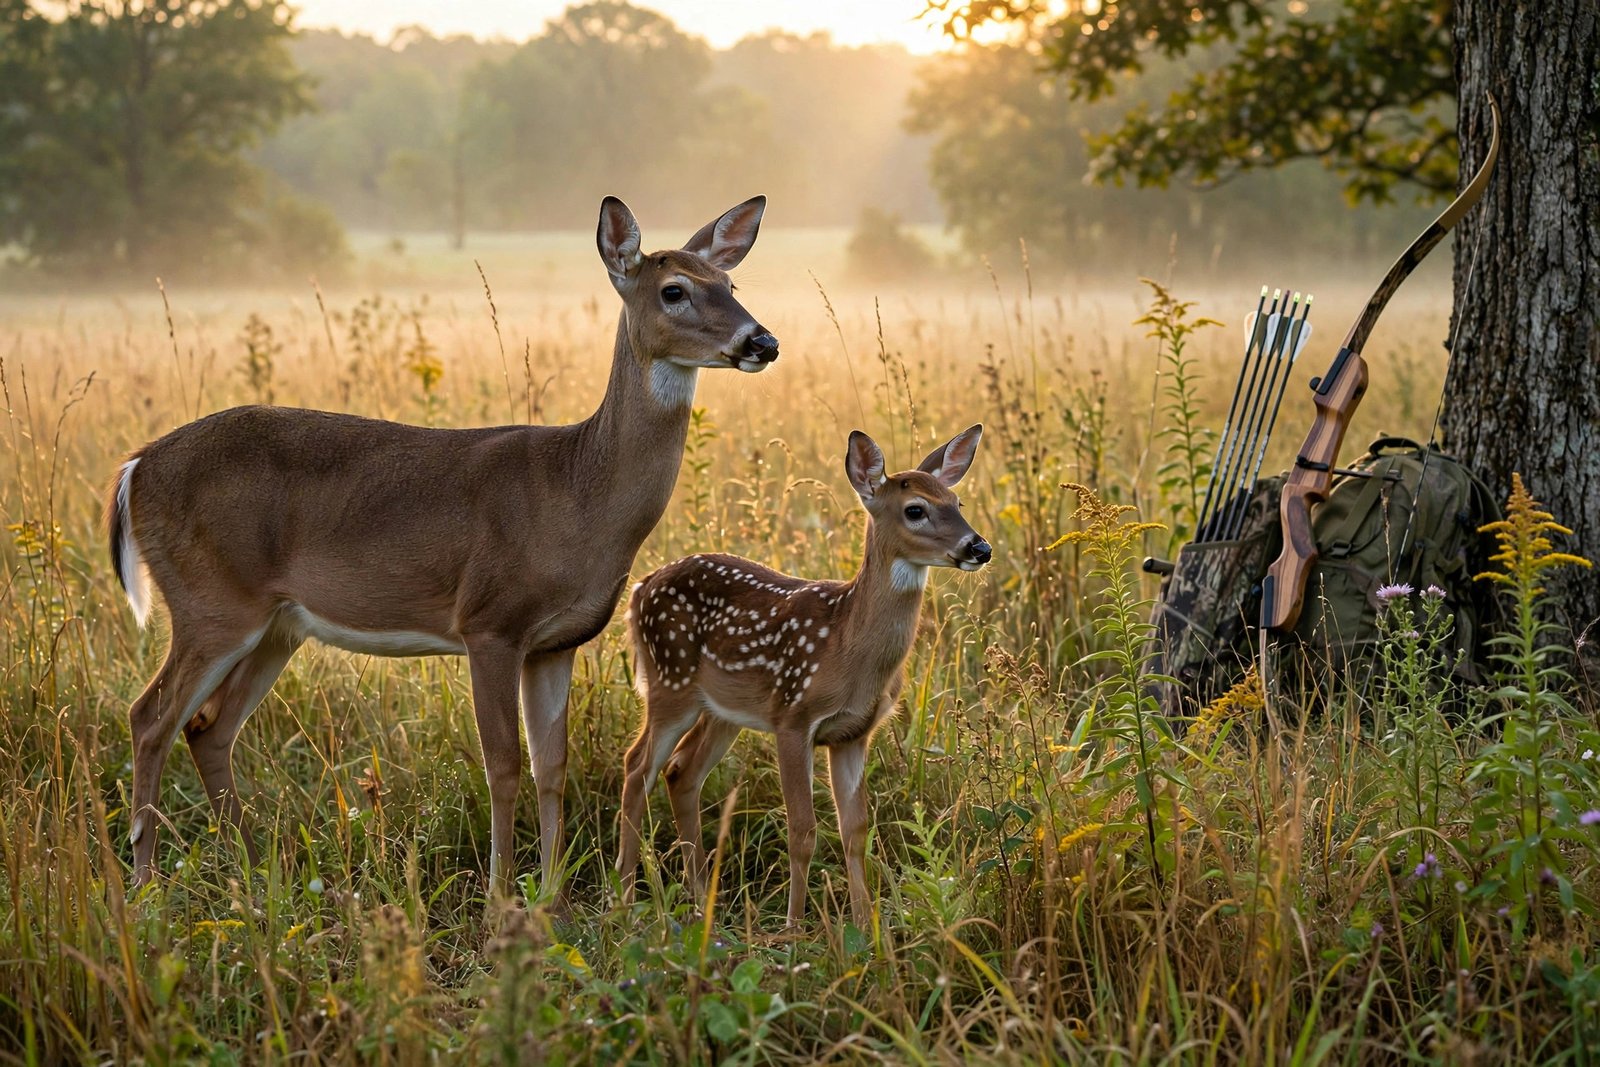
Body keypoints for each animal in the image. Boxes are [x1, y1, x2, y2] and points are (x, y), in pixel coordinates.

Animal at [107, 195, 778, 898]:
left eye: (730, 285)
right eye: (674, 290)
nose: (762, 341)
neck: (576, 493)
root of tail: (134, 468)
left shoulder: (556, 643)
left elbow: (552, 765)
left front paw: (553, 895)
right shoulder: (489, 622)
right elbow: (503, 764)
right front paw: (501, 895)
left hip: (276, 625)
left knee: (208, 728)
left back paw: (256, 868)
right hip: (210, 601)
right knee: (150, 717)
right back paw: (146, 883)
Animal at [616, 425, 990, 928]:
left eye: (957, 501)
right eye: (916, 509)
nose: (980, 548)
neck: (847, 647)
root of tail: (639, 588)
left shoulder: (853, 733)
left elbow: (855, 831)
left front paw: (865, 925)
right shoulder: (793, 718)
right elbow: (803, 831)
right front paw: (794, 928)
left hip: (723, 710)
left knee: (681, 772)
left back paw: (700, 902)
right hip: (669, 682)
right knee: (638, 767)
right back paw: (624, 901)